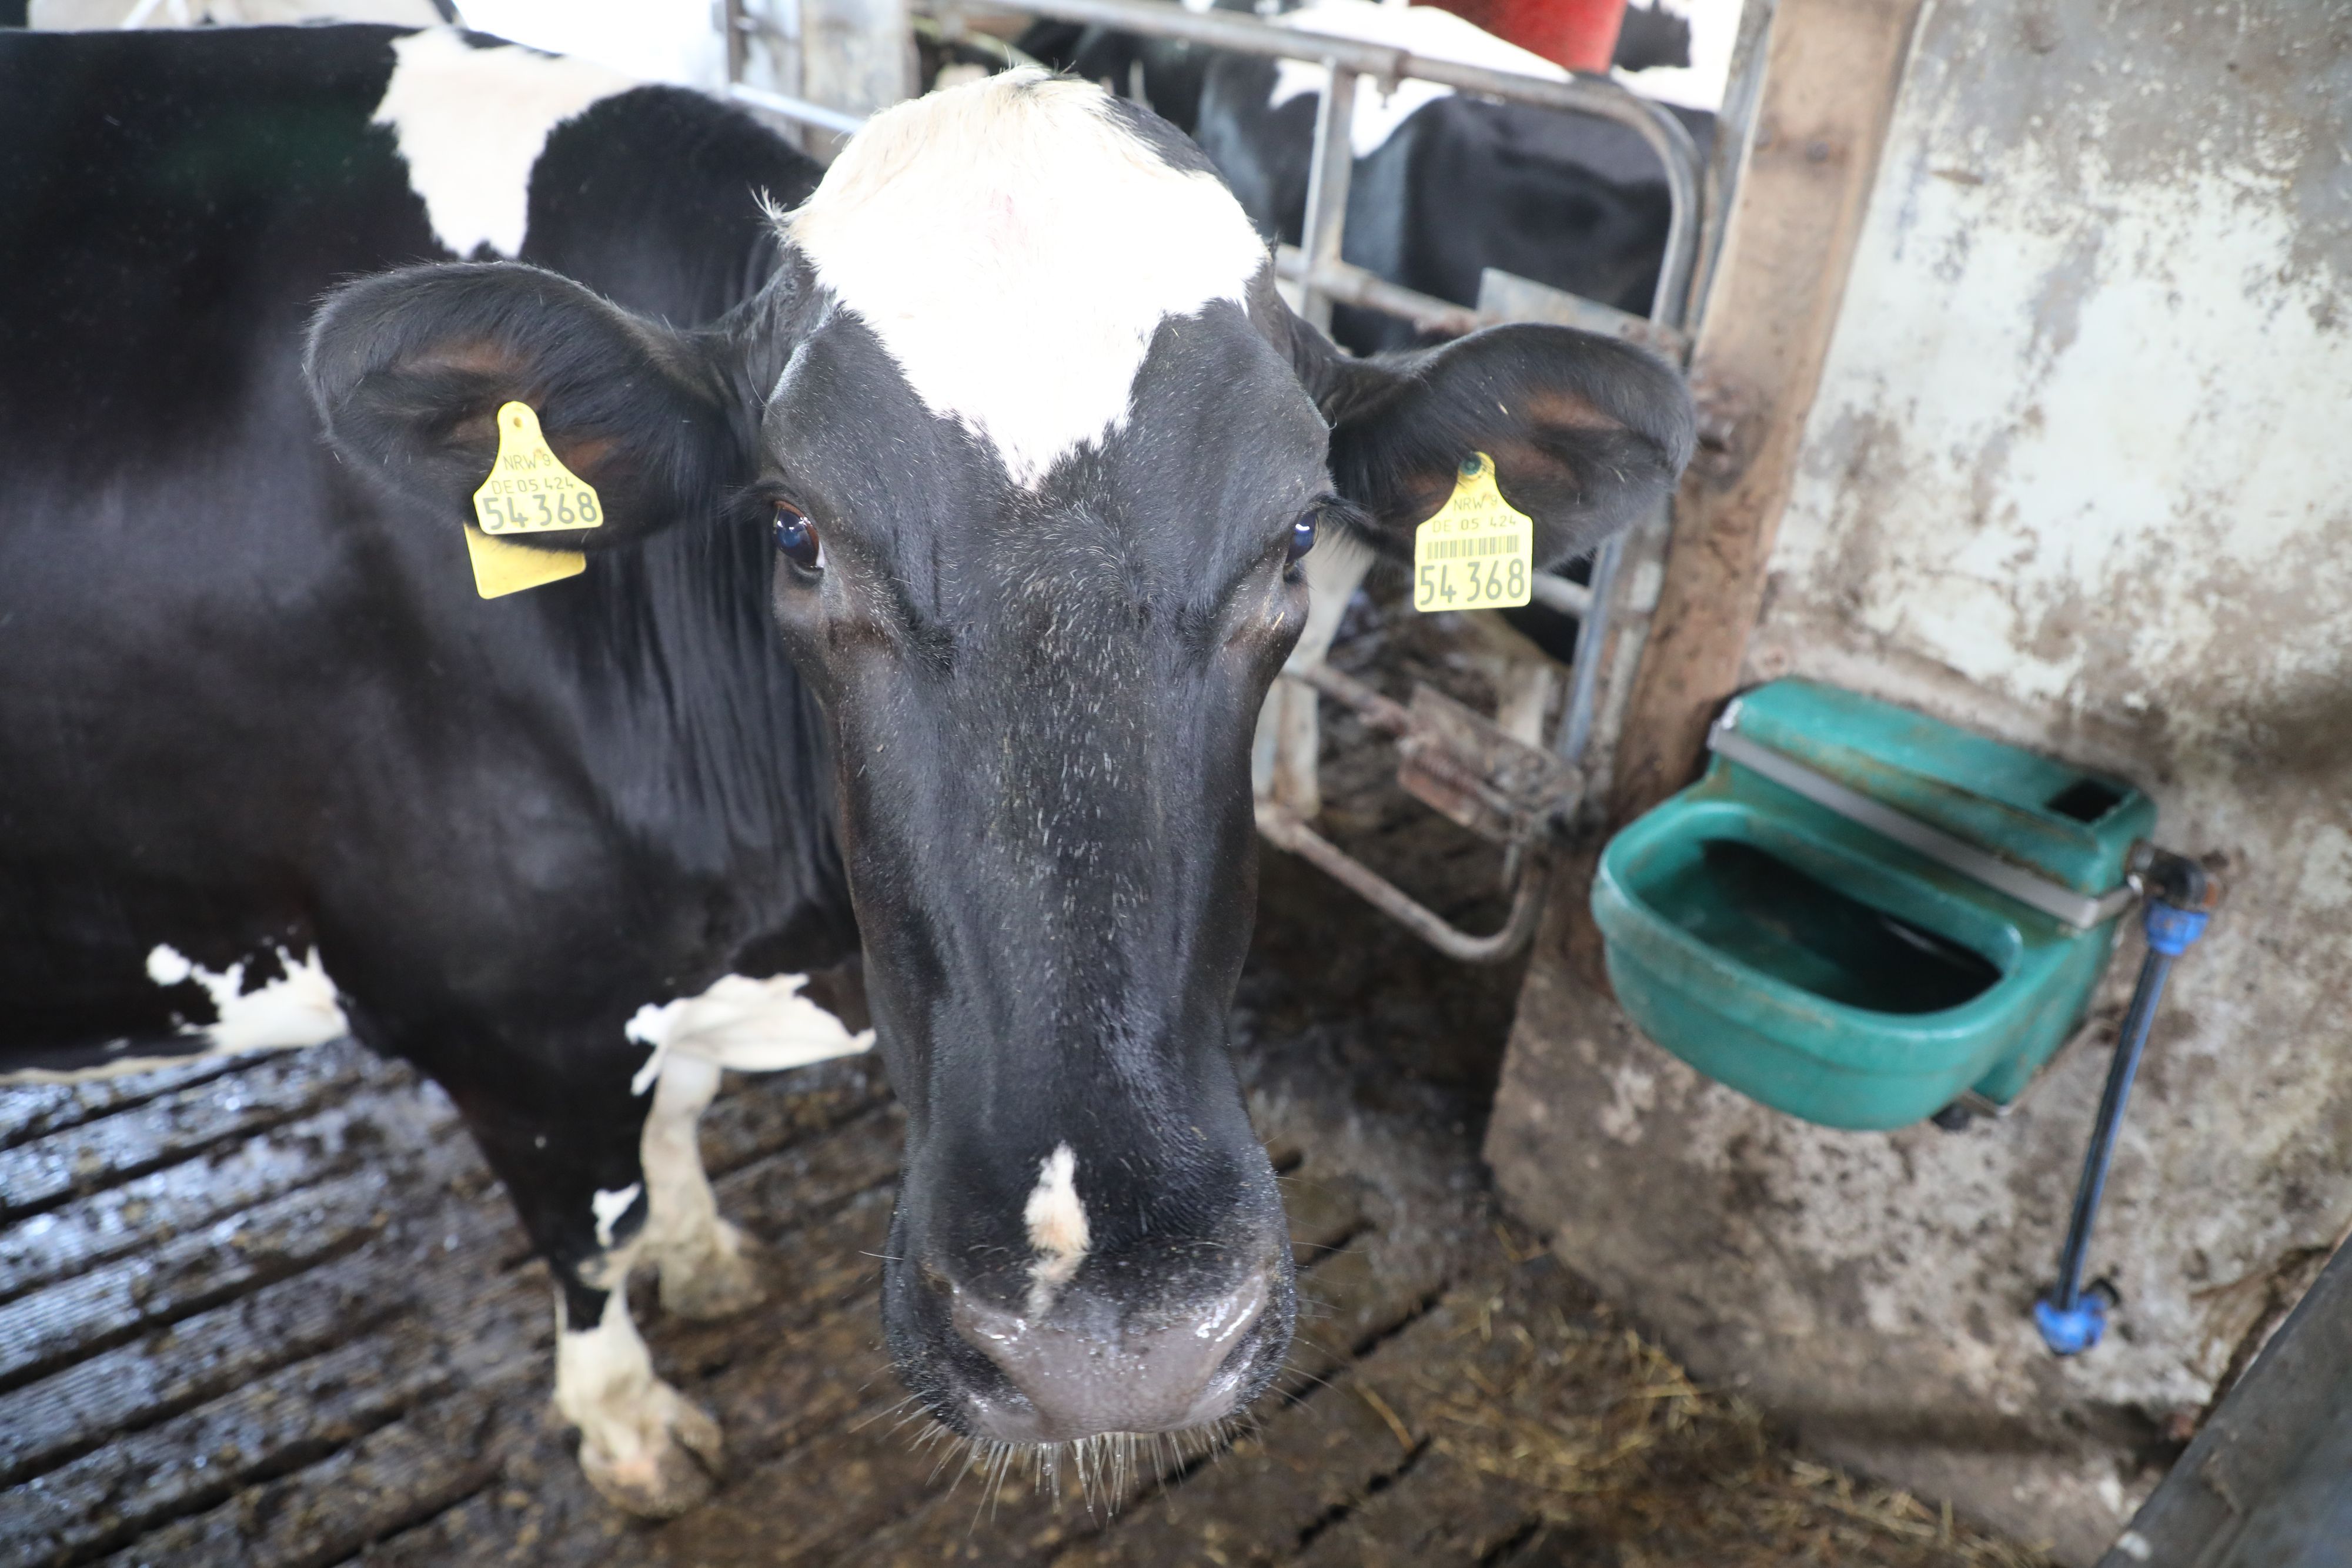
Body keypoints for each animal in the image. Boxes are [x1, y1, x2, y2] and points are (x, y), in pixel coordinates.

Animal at [1, 27, 1694, 1519]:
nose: (1112, 1341)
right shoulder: (507, 1016)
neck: (763, 926)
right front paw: (628, 1418)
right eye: (794, 530)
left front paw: (700, 1245)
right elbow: (587, 1228)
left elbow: (669, 1131)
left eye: (1295, 532)